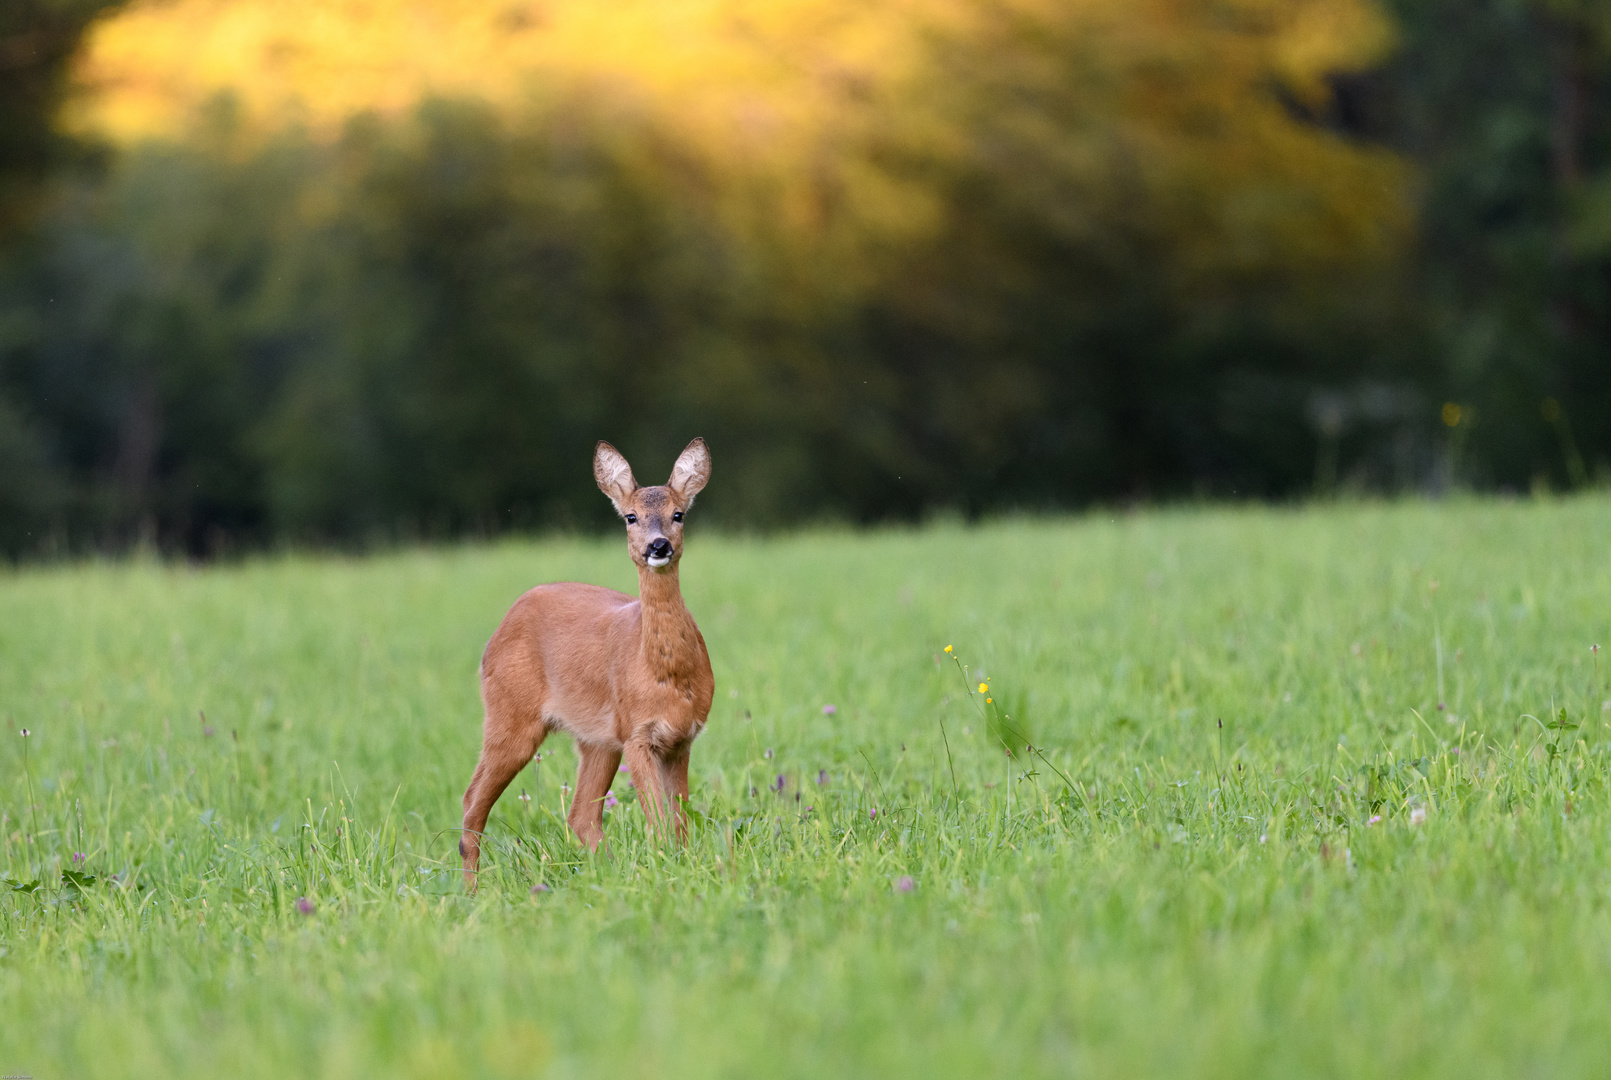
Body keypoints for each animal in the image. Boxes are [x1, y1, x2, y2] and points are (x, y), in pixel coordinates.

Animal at [467, 438, 718, 889]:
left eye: (679, 514)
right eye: (631, 516)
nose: (658, 546)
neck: (666, 677)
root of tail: (497, 631)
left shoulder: (681, 738)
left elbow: (680, 821)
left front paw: (681, 866)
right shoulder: (637, 733)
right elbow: (660, 821)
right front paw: (665, 870)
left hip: (595, 739)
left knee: (581, 815)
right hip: (510, 714)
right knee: (472, 801)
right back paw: (471, 891)